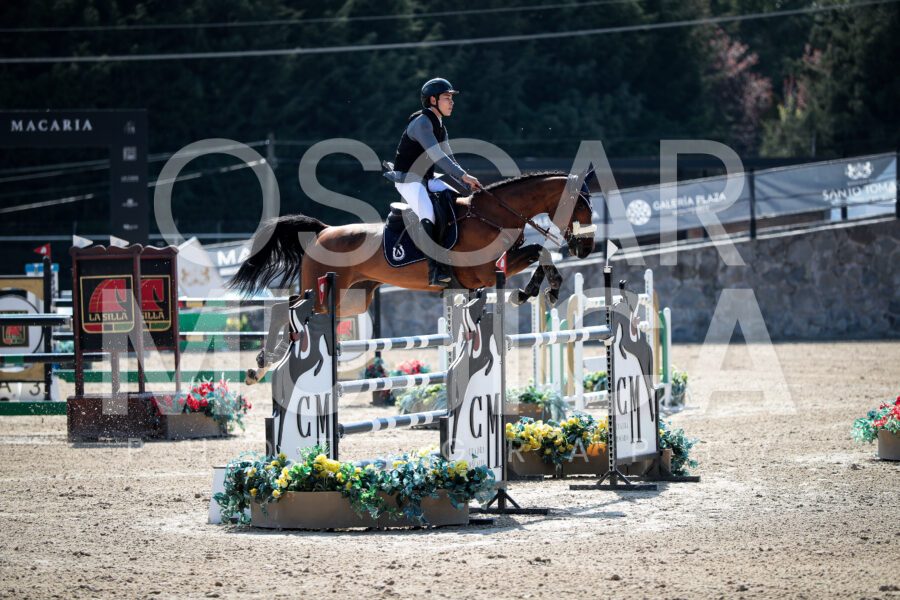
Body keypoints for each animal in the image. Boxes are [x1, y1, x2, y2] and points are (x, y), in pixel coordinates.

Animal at [230, 170, 597, 316]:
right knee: (293, 306)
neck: (492, 213)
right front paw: (535, 291)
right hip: (322, 291)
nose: (586, 248)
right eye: (581, 204)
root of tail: (322, 231)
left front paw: (538, 291)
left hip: (353, 297)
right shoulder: (482, 272)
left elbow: (540, 252)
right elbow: (538, 250)